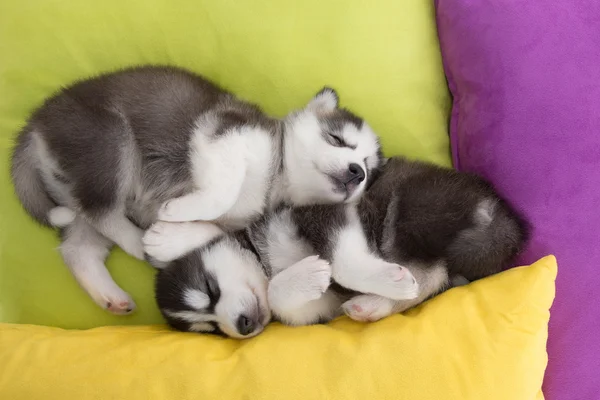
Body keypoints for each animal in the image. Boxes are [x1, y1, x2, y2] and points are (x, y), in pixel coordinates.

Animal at [9, 65, 382, 316]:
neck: (275, 178)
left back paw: (111, 292)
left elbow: (214, 225)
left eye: (369, 168)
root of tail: (35, 125)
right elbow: (223, 189)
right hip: (109, 142)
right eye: (338, 139)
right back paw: (135, 240)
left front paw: (172, 234)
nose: (357, 172)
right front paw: (176, 211)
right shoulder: (224, 135)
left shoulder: (240, 220)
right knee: (102, 211)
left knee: (80, 244)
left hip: (80, 183)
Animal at [152, 156, 528, 338]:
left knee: (433, 270)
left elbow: (343, 263)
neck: (267, 261)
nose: (243, 326)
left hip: (410, 209)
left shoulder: (328, 212)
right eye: (211, 329)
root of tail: (496, 210)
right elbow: (283, 298)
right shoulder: (316, 309)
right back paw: (372, 305)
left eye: (210, 289)